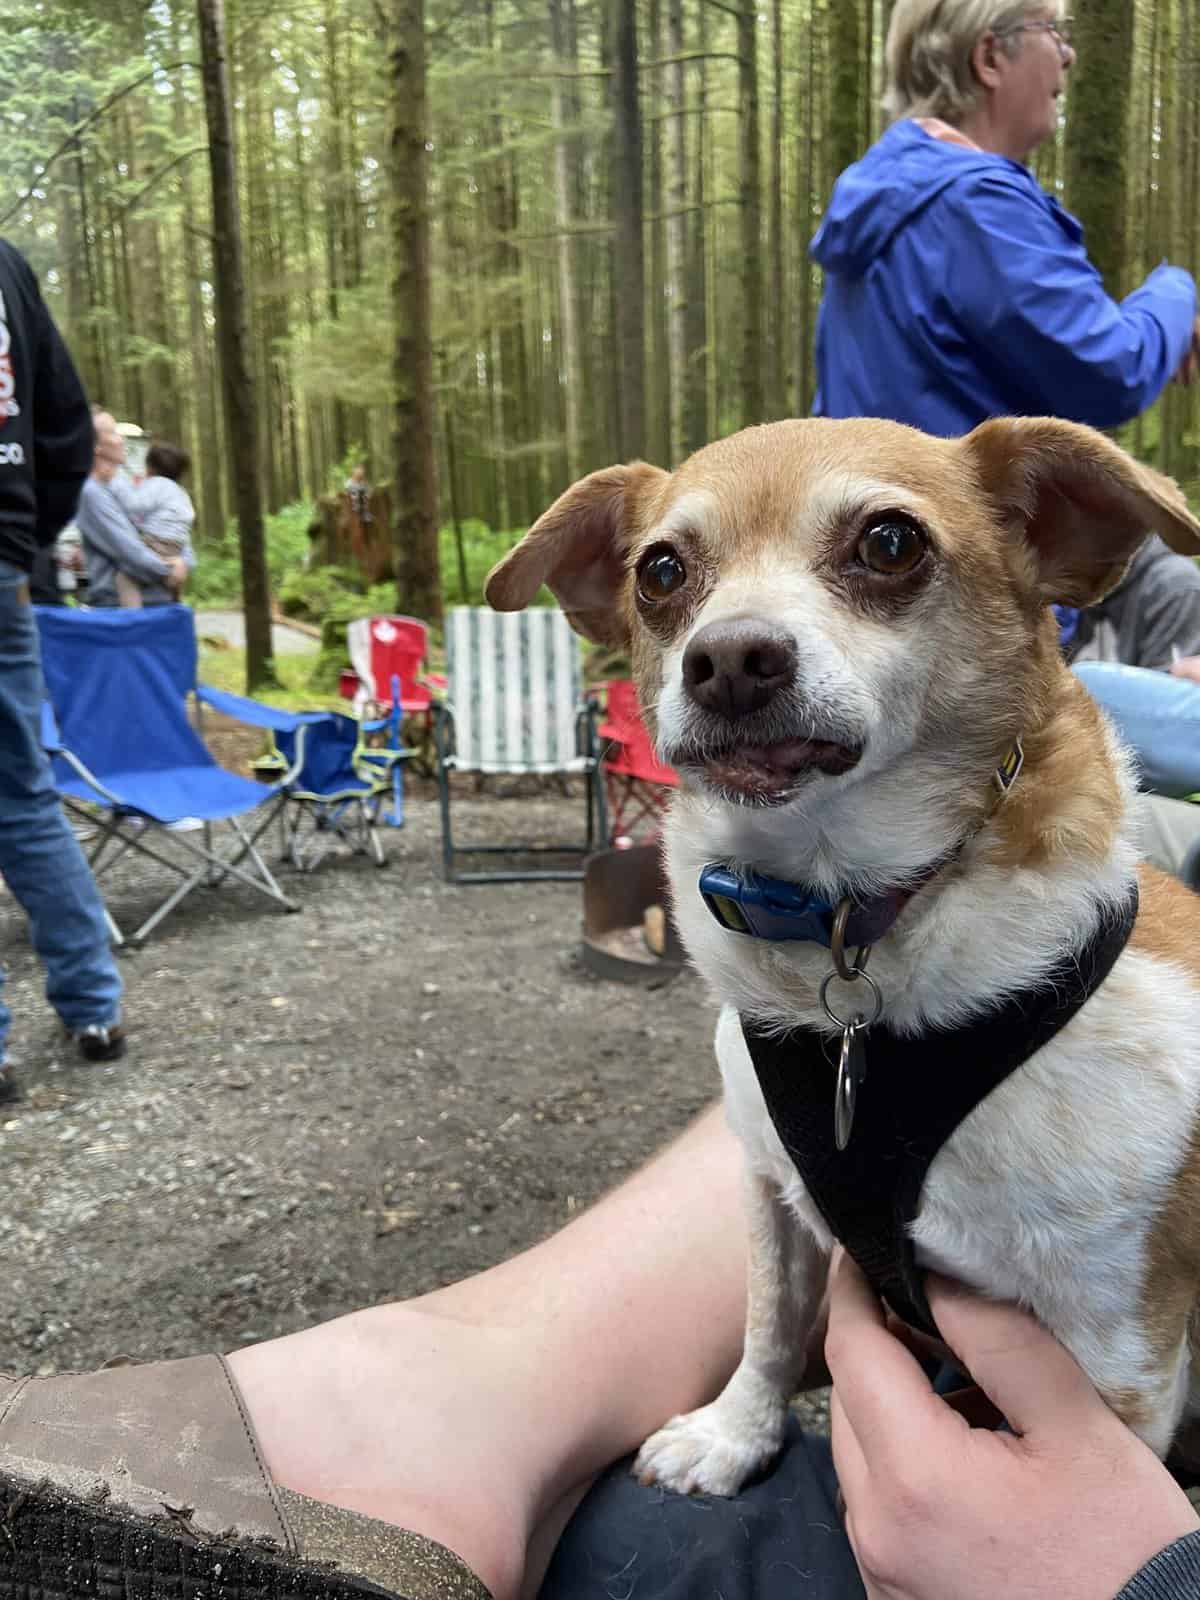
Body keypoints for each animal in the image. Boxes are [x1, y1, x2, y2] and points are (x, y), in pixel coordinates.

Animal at [486, 416, 1200, 1497]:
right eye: (660, 571)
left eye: (890, 543)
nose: (730, 658)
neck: (848, 913)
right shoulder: (770, 1187)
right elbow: (771, 1325)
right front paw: (735, 1434)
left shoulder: (1125, 1350)